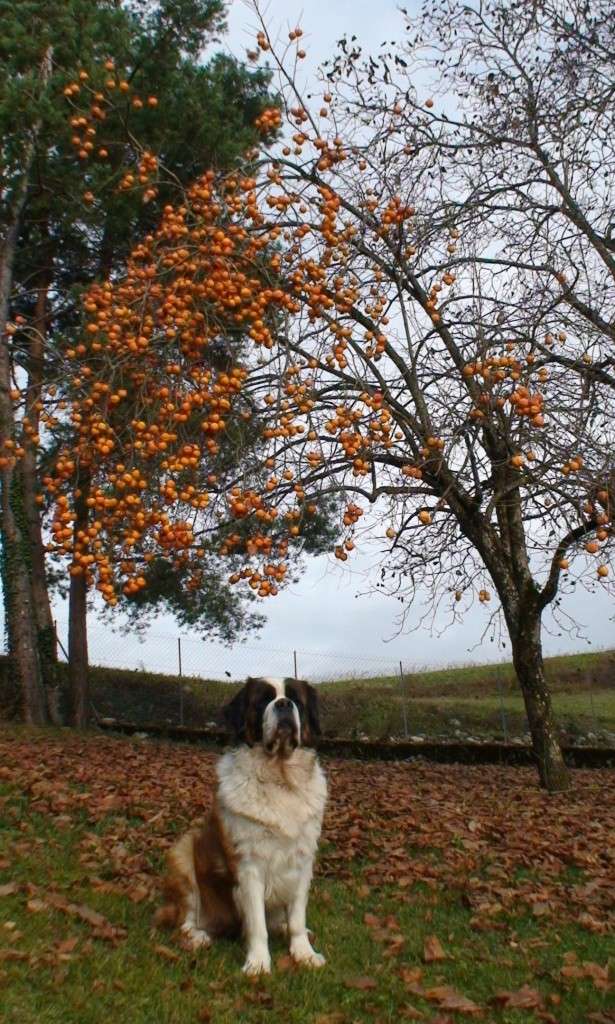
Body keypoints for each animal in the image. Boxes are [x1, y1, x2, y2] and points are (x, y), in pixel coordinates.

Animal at [154, 679, 325, 974]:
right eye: (263, 700)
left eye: (295, 699)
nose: (283, 704)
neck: (280, 777)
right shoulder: (249, 866)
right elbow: (257, 923)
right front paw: (258, 963)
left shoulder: (302, 862)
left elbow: (297, 917)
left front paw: (303, 953)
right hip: (183, 852)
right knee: (184, 919)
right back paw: (197, 936)